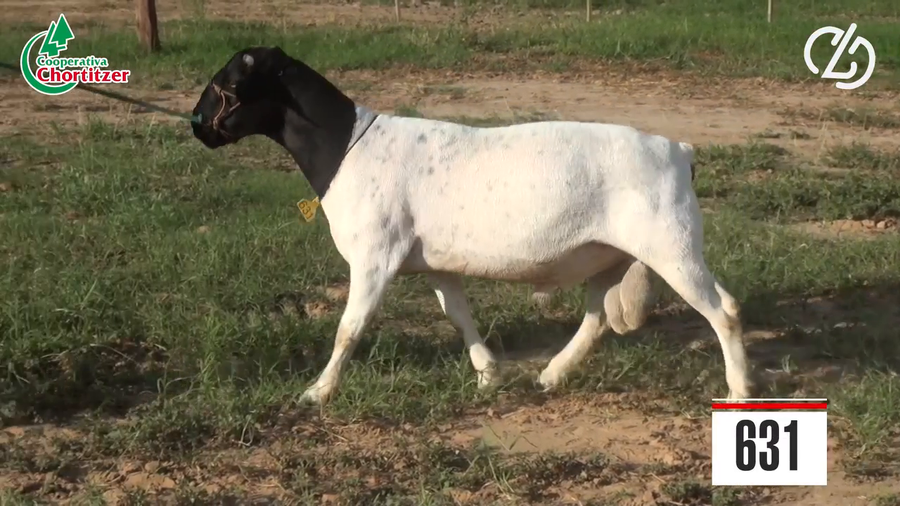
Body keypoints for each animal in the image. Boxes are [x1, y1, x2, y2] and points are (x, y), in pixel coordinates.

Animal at [190, 46, 756, 406]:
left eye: (227, 84)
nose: (196, 126)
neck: (347, 144)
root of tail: (678, 150)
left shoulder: (375, 254)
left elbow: (350, 328)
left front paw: (317, 392)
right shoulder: (434, 261)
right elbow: (457, 314)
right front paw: (488, 375)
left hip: (672, 245)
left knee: (724, 310)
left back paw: (739, 391)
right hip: (609, 252)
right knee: (596, 318)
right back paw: (552, 374)